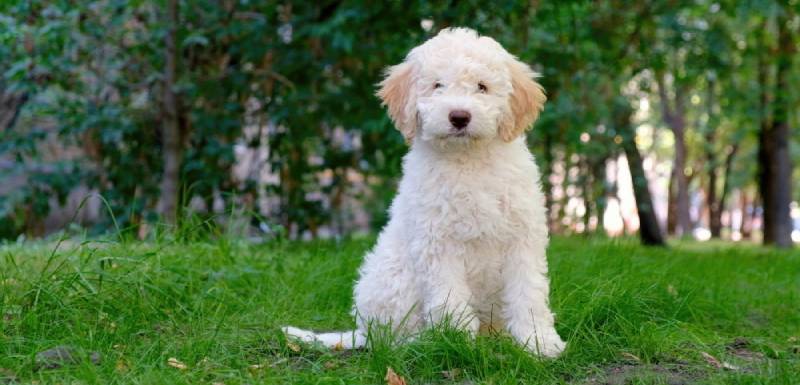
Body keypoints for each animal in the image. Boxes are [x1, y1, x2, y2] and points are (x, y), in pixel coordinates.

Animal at [284, 27, 564, 356]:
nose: (459, 116)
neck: (468, 160)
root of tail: (362, 332)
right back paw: (423, 343)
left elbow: (528, 293)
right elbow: (450, 298)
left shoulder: (522, 238)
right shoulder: (437, 242)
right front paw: (458, 343)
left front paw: (539, 342)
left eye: (482, 87)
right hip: (395, 280)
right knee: (392, 339)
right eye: (437, 85)